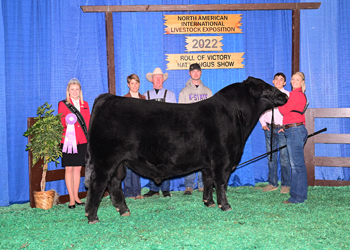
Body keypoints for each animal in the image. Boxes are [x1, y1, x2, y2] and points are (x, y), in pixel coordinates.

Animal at [84, 76, 288, 223]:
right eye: (266, 88)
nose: (285, 96)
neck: (237, 118)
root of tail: (108, 97)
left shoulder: (208, 163)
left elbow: (208, 181)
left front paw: (208, 202)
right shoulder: (222, 159)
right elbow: (221, 183)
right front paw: (225, 205)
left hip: (118, 163)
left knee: (114, 183)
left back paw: (124, 211)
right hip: (105, 160)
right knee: (97, 184)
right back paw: (93, 217)